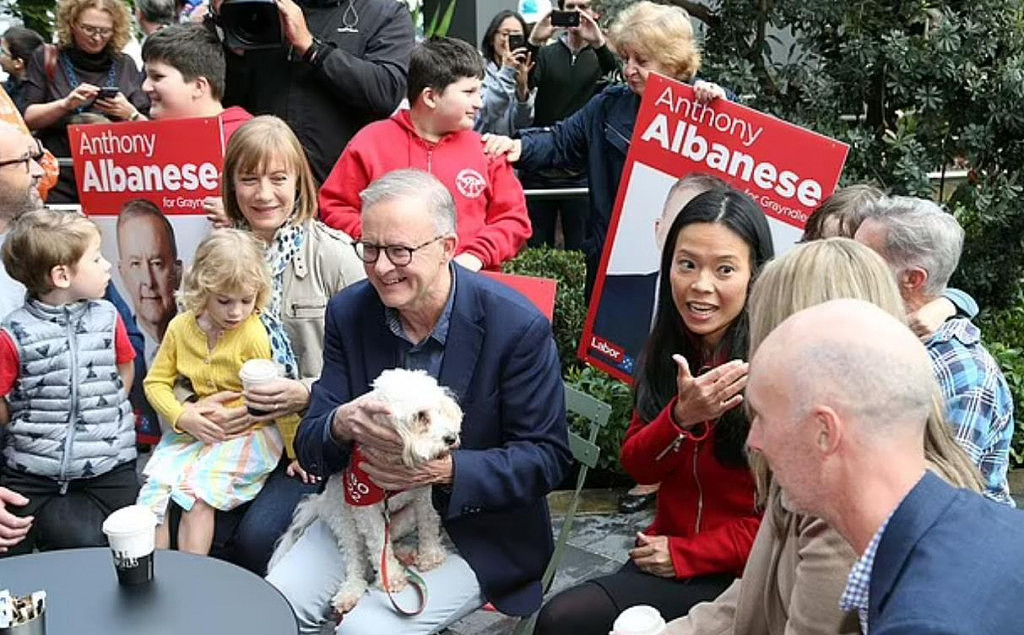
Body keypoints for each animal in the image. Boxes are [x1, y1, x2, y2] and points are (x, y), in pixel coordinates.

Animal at [272, 366, 464, 614]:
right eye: (420, 416)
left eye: (440, 409)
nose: (450, 438)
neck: (393, 460)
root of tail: (320, 503)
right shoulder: (366, 510)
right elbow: (377, 543)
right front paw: (391, 578)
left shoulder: (423, 493)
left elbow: (429, 523)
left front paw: (430, 555)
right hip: (345, 524)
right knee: (356, 559)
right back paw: (351, 591)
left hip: (404, 519)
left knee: (391, 540)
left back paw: (406, 553)